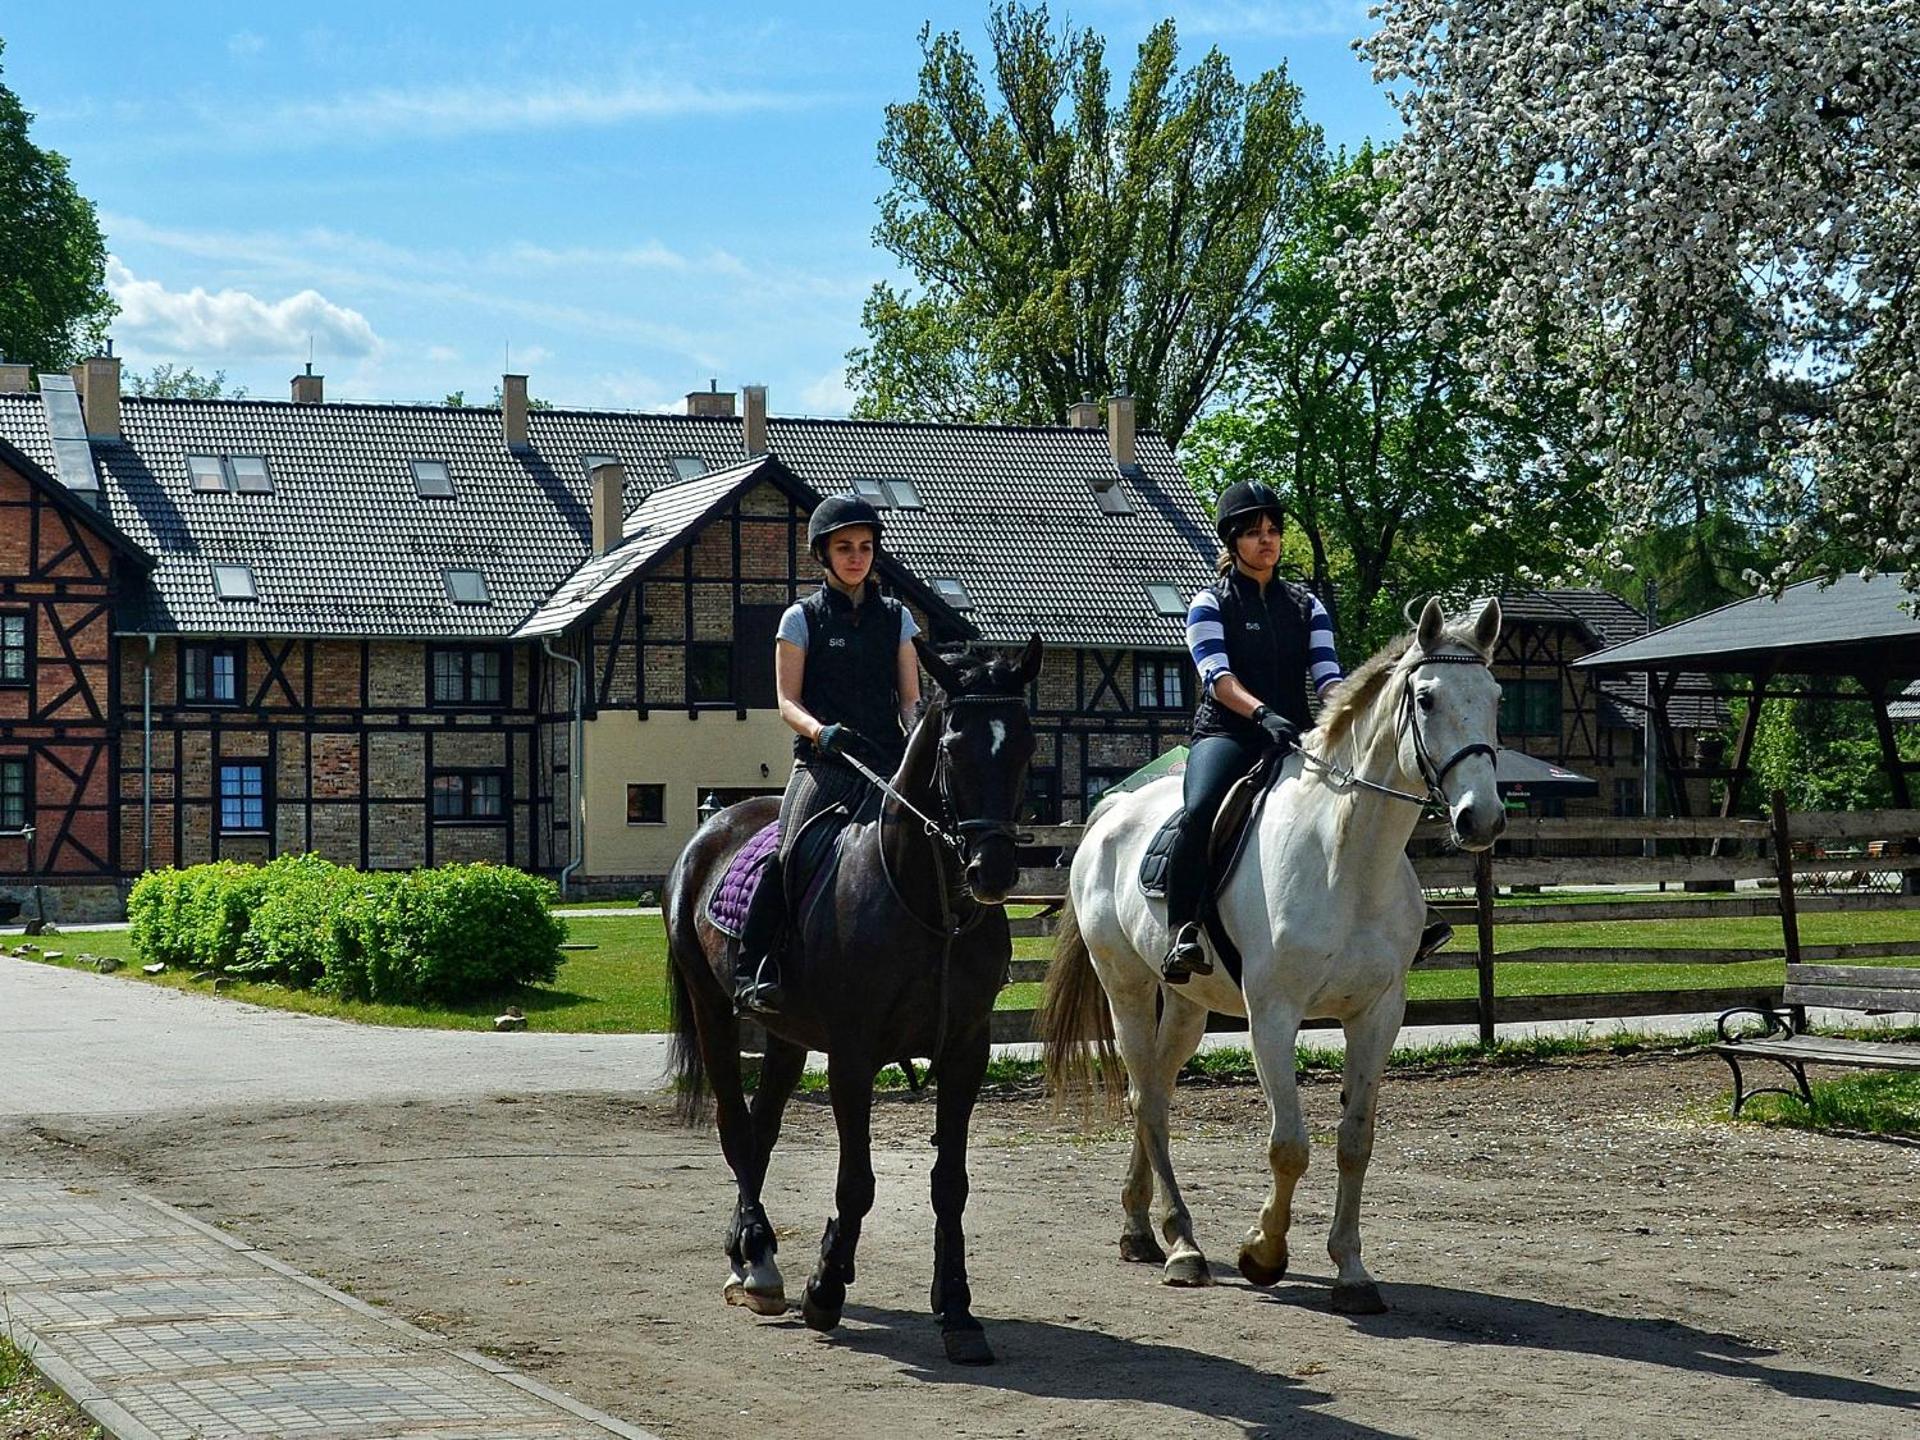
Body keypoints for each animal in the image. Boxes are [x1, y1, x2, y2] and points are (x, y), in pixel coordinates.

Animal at [663, 635, 1041, 1366]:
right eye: (954, 745)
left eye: (1025, 743)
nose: (992, 871)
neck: (926, 900)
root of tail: (716, 822)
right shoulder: (854, 1055)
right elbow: (857, 1182)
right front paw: (826, 1287)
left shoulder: (967, 1051)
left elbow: (950, 1184)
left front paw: (958, 1312)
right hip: (712, 1010)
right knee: (734, 1126)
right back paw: (757, 1261)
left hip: (784, 1035)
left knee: (761, 1131)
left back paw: (754, 1258)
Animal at [1039, 597, 1504, 1314]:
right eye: (1425, 698)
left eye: (1497, 696)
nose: (1482, 818)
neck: (1347, 858)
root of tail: (1111, 812)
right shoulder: (1274, 1014)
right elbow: (1289, 1146)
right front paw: (1263, 1252)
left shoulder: (1378, 1014)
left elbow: (1355, 1141)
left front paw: (1352, 1273)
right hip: (1125, 988)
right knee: (1146, 1100)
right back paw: (1183, 1246)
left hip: (1186, 1005)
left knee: (1157, 1093)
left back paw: (1140, 1228)